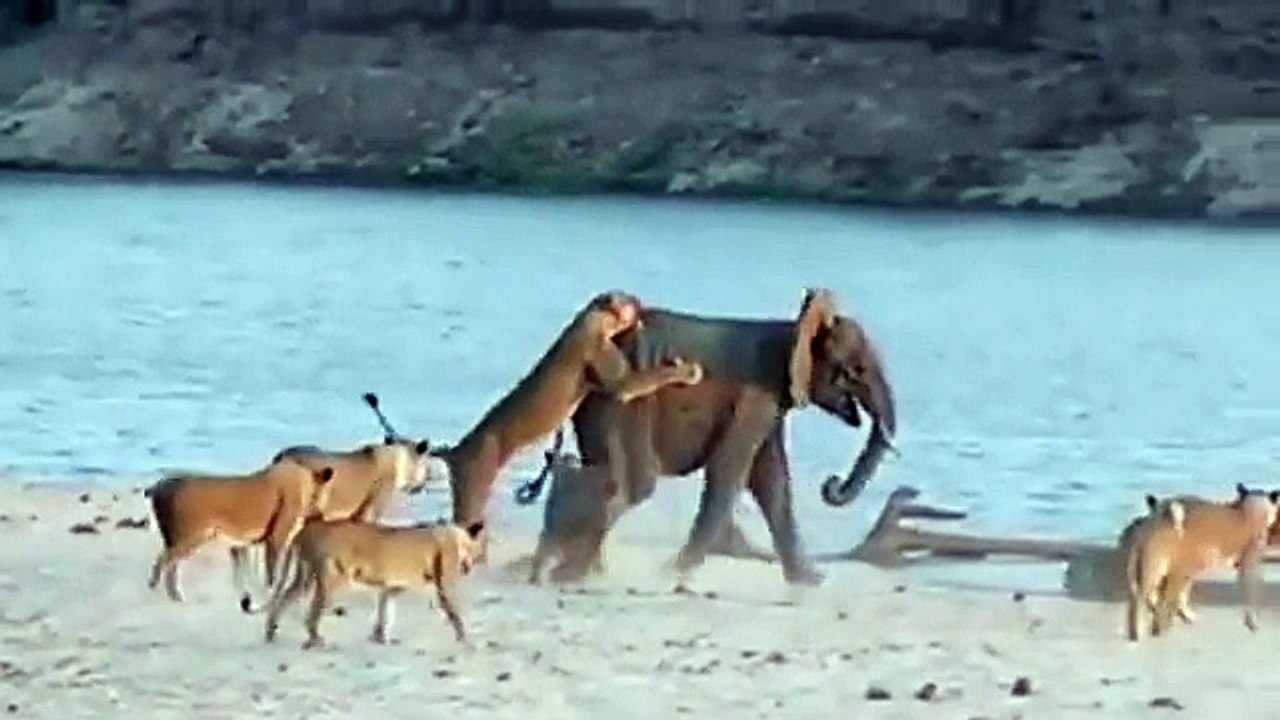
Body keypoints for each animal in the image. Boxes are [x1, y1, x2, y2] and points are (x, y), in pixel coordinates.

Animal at [145, 459, 336, 604]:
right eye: (319, 495)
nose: (322, 515)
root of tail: (157, 488)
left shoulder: (244, 544)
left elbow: (243, 573)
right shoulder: (276, 536)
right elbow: (272, 571)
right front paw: (269, 592)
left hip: (175, 538)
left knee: (169, 564)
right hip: (191, 537)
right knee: (163, 562)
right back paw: (165, 594)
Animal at [262, 518, 486, 649]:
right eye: (479, 552)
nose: (473, 565)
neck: (456, 536)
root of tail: (306, 529)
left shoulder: (392, 587)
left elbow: (384, 611)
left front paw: (380, 637)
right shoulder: (445, 586)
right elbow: (454, 612)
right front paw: (466, 641)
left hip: (305, 577)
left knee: (282, 601)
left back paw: (270, 633)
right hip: (335, 581)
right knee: (311, 616)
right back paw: (316, 640)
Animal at [433, 290, 704, 552]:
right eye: (630, 300)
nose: (640, 303)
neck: (591, 318)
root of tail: (455, 451)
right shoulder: (609, 364)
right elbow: (636, 381)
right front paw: (687, 371)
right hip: (474, 480)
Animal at [516, 288, 898, 586]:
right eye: (855, 371)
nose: (831, 483)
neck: (791, 332)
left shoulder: (770, 404)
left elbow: (772, 479)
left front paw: (811, 582)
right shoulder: (754, 398)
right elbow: (732, 472)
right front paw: (673, 573)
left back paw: (578, 573)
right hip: (622, 404)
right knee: (633, 486)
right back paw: (574, 575)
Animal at [1125, 483, 1280, 642]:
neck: (1250, 512)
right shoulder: (1249, 565)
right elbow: (1251, 594)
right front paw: (1252, 621)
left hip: (1151, 569)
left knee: (1141, 598)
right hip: (1169, 571)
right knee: (1155, 600)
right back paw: (1152, 630)